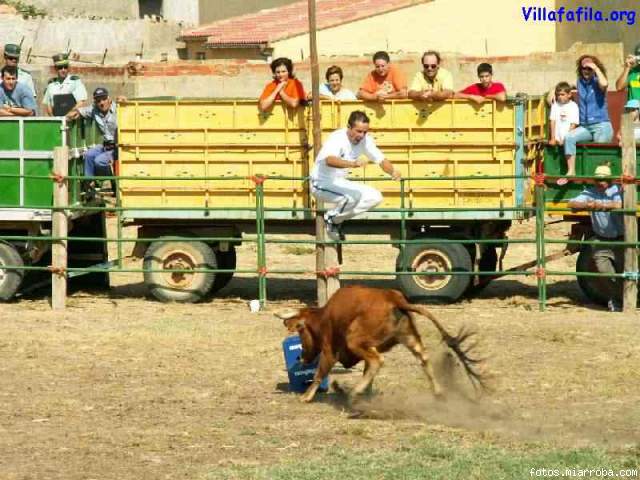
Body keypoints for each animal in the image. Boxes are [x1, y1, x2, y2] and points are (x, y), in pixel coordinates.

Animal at [278, 286, 482, 404]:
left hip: (354, 339)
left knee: (378, 361)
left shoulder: (329, 350)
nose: (301, 357)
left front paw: (306, 396)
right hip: (408, 336)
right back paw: (438, 392)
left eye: (300, 331)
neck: (324, 317)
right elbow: (367, 370)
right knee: (423, 357)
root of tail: (394, 299)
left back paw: (355, 392)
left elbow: (319, 373)